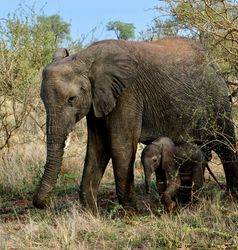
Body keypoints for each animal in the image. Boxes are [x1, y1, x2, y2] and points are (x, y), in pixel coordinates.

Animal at [33, 37, 238, 211]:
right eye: (42, 99)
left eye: (72, 99)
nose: (46, 204)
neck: (84, 58)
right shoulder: (98, 100)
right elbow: (97, 147)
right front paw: (91, 212)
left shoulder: (127, 93)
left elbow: (120, 146)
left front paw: (132, 214)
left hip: (218, 99)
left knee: (225, 145)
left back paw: (231, 198)